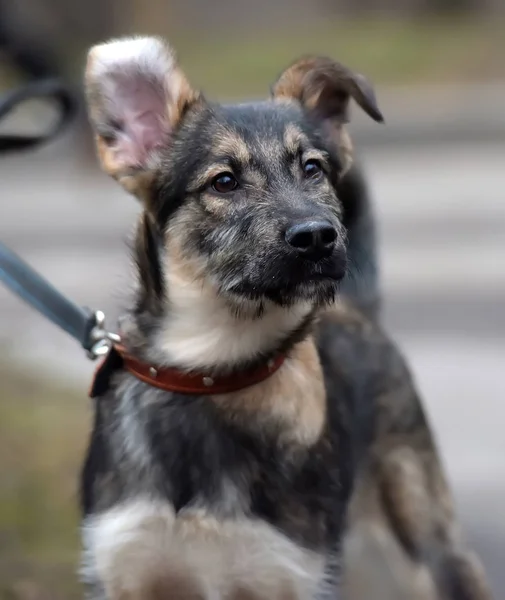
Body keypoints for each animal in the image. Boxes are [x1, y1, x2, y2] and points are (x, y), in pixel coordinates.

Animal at [79, 37, 492, 600]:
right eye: (224, 181)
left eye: (312, 168)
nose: (319, 238)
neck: (212, 369)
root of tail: (360, 310)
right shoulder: (124, 565)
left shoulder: (289, 571)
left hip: (429, 534)